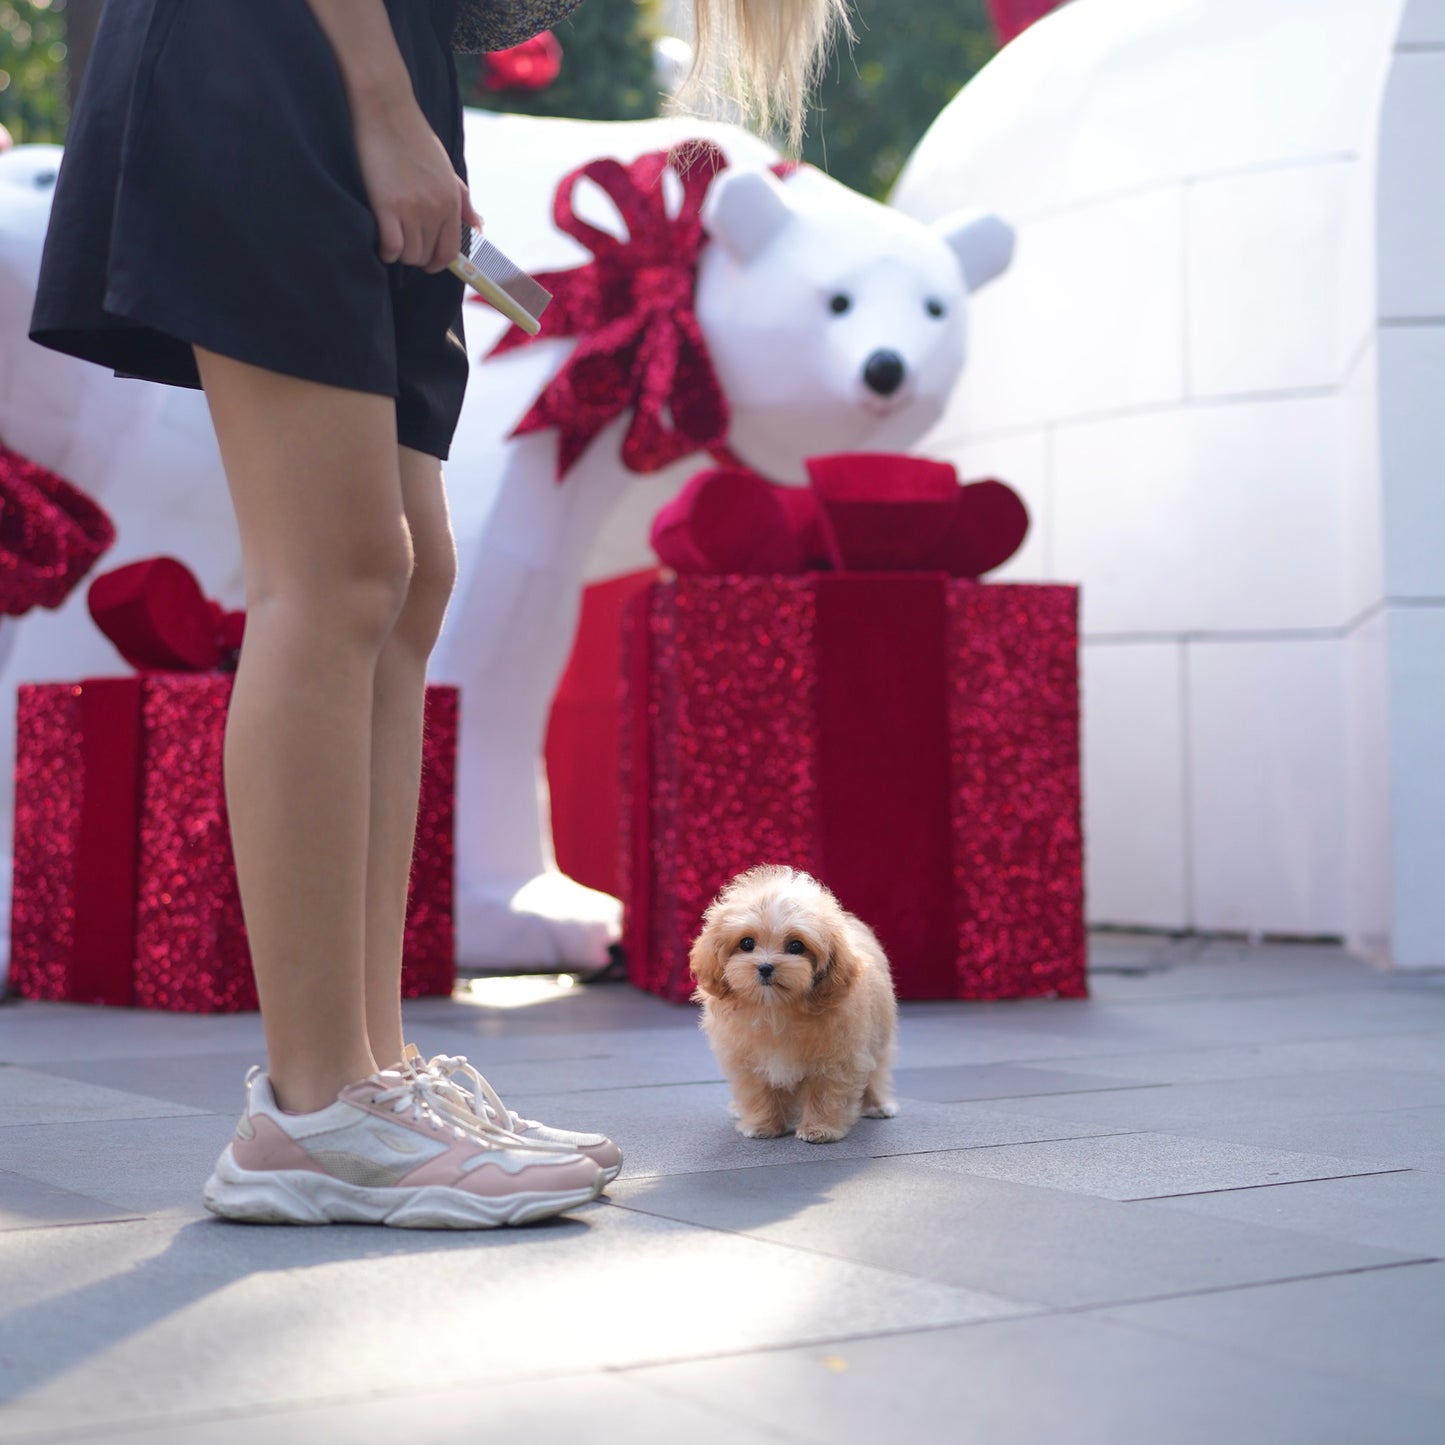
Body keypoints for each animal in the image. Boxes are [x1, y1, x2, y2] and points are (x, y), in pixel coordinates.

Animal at [684, 861, 890, 1144]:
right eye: (746, 943)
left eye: (796, 946)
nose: (765, 967)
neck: (776, 1008)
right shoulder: (748, 1060)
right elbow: (758, 1091)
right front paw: (762, 1125)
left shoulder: (837, 1057)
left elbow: (825, 1092)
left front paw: (820, 1128)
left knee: (877, 1072)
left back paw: (877, 1105)